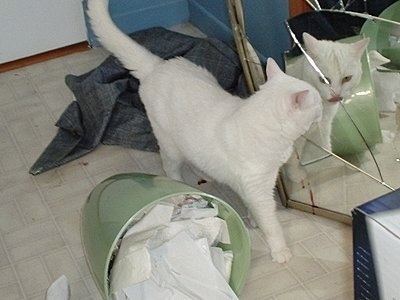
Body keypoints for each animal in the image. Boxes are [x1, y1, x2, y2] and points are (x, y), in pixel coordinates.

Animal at [87, 0, 322, 262]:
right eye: (318, 102)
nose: (325, 107)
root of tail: (158, 66)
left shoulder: (254, 188)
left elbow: (256, 211)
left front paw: (253, 221)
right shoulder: (258, 190)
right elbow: (271, 223)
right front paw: (280, 250)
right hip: (169, 146)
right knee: (171, 168)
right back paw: (178, 190)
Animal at [284, 34, 368, 182]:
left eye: (347, 78)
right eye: (324, 80)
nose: (336, 95)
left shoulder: (322, 129)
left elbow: (326, 152)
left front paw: (347, 164)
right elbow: (293, 157)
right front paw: (295, 175)